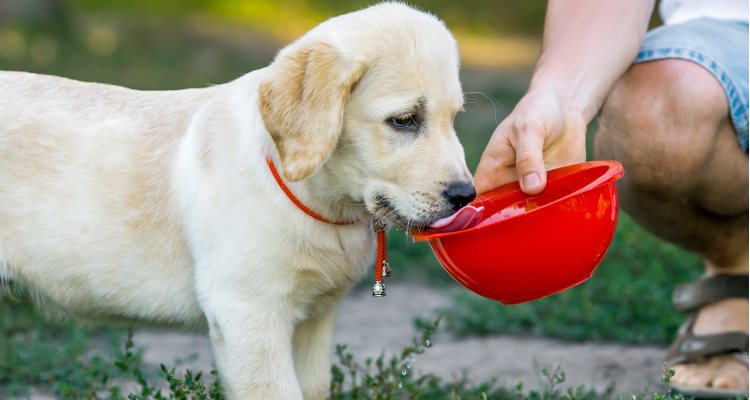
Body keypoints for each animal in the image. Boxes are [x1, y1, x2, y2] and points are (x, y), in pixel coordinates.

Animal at [0, 2, 476, 396]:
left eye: (455, 119)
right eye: (404, 120)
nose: (465, 196)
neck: (313, 197)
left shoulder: (315, 319)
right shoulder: (248, 314)